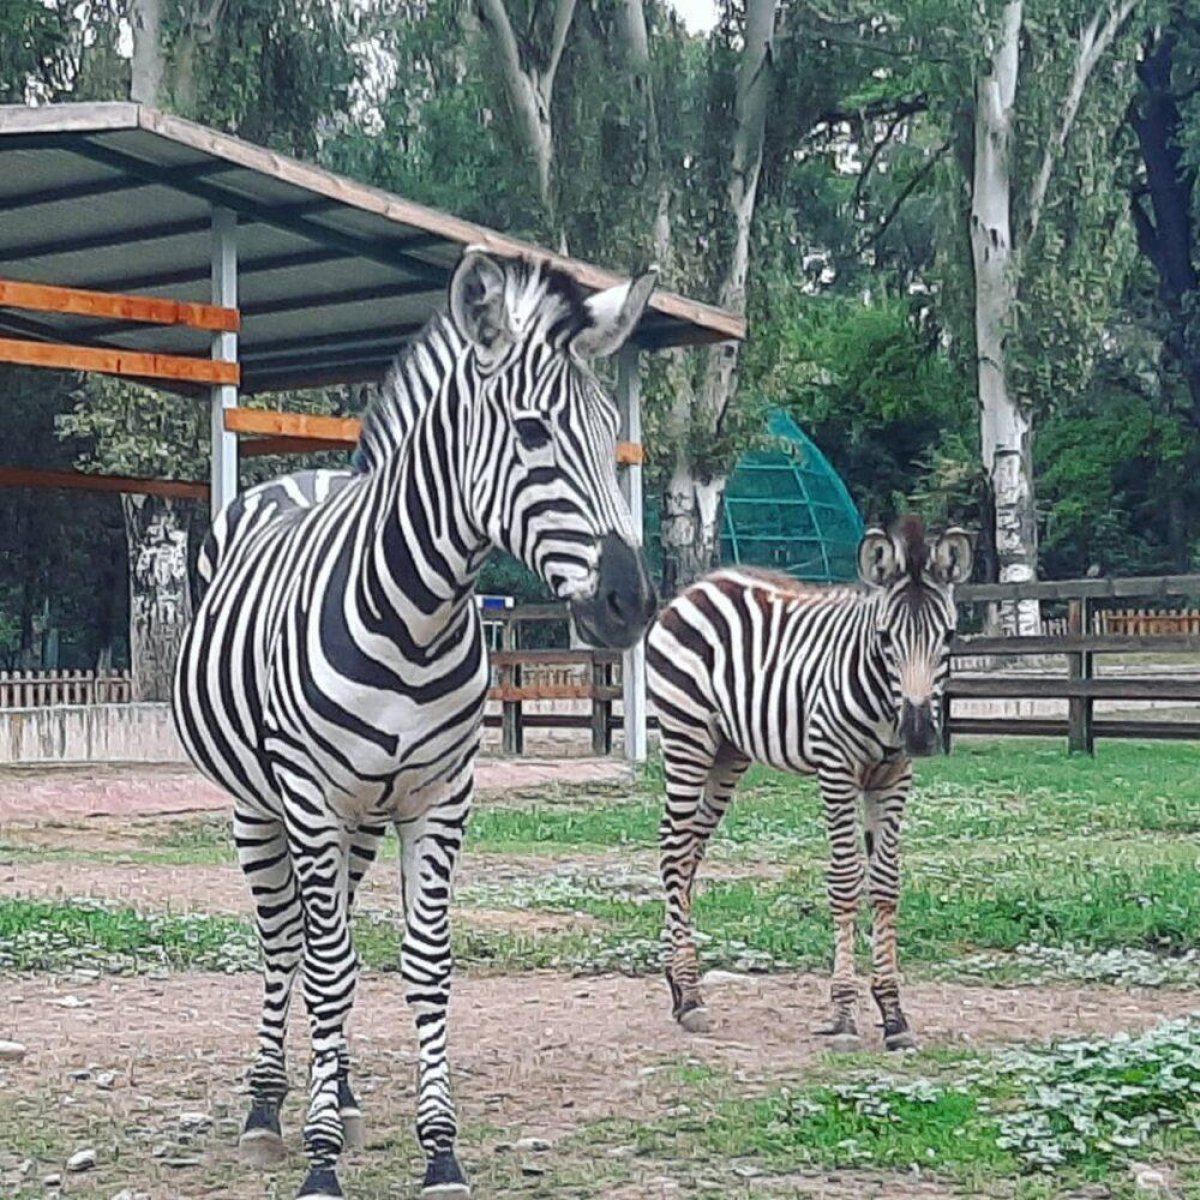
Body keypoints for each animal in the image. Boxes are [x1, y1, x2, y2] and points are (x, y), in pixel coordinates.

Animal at [170, 246, 657, 1200]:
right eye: (533, 432)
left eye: (609, 435)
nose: (632, 603)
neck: (412, 616)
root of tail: (305, 474)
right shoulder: (311, 798)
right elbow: (322, 966)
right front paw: (318, 1160)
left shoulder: (440, 796)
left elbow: (421, 966)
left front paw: (439, 1152)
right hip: (261, 805)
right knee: (287, 943)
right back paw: (269, 1110)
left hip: (362, 816)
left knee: (334, 942)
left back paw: (345, 1096)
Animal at [648, 516, 974, 1051]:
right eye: (885, 638)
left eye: (947, 636)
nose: (920, 733)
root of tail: (699, 586)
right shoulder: (836, 768)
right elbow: (844, 882)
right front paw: (843, 1016)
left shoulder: (893, 778)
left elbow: (886, 883)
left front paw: (894, 1016)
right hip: (687, 737)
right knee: (674, 853)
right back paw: (692, 998)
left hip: (728, 752)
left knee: (688, 852)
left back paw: (678, 986)